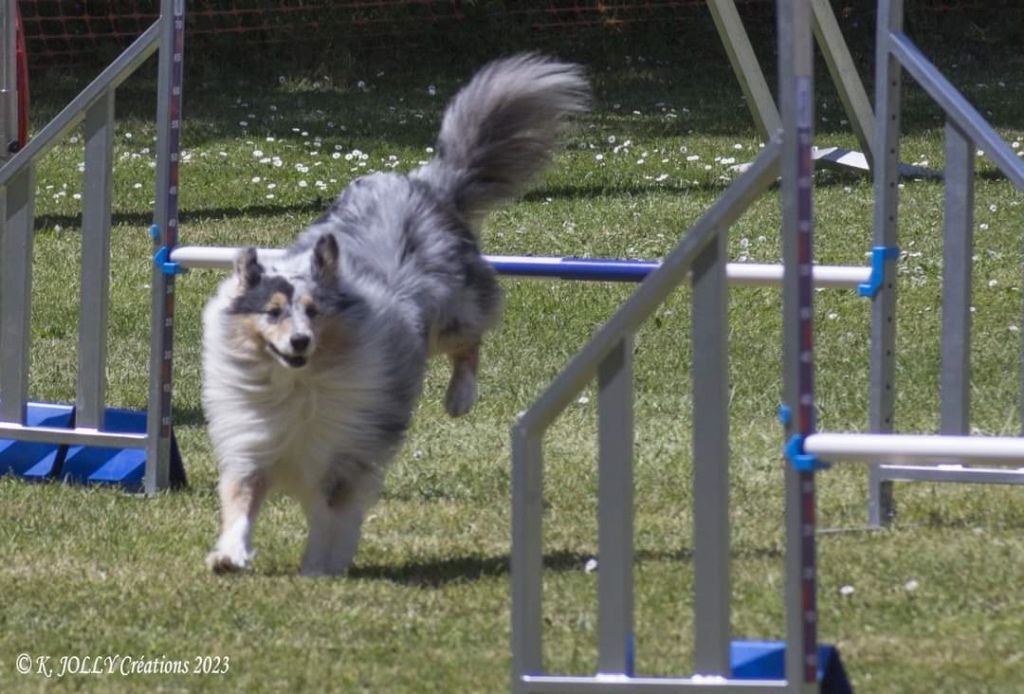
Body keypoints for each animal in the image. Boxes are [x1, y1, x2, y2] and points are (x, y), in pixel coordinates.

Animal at [200, 52, 589, 577]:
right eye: (273, 312)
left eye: (314, 312)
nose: (300, 342)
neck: (300, 384)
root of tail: (420, 182)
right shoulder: (255, 440)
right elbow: (241, 498)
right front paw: (230, 555)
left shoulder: (346, 451)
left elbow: (331, 514)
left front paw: (320, 567)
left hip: (451, 311)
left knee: (471, 343)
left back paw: (459, 398)